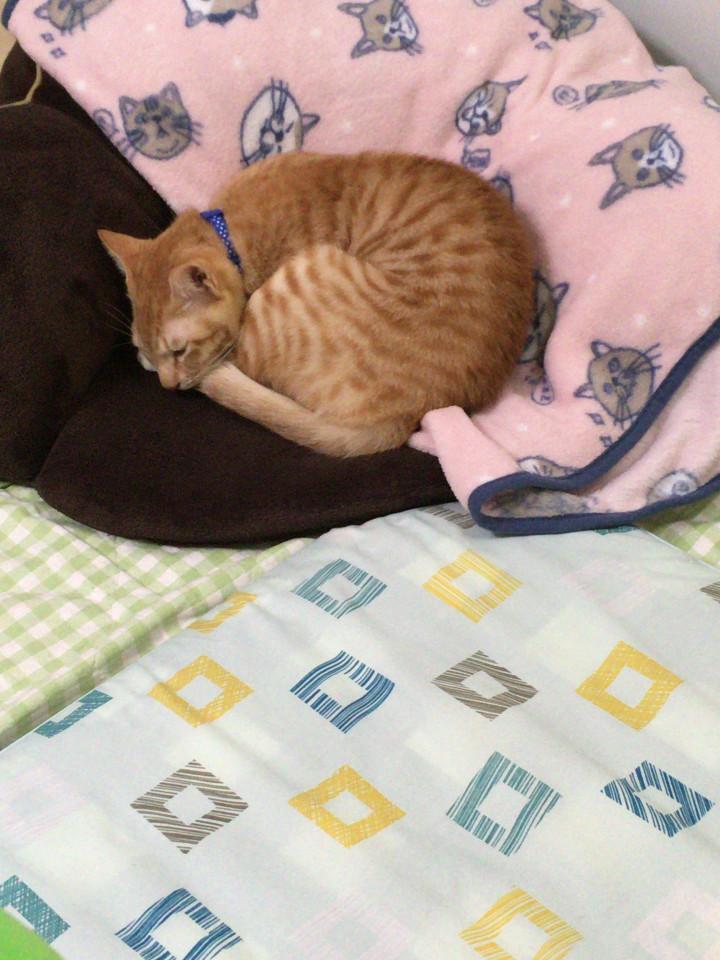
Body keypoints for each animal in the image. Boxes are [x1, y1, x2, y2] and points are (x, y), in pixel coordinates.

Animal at [98, 151, 535, 458]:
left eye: (179, 350)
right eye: (143, 343)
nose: (168, 387)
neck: (229, 227)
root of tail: (416, 413)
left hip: (295, 284)